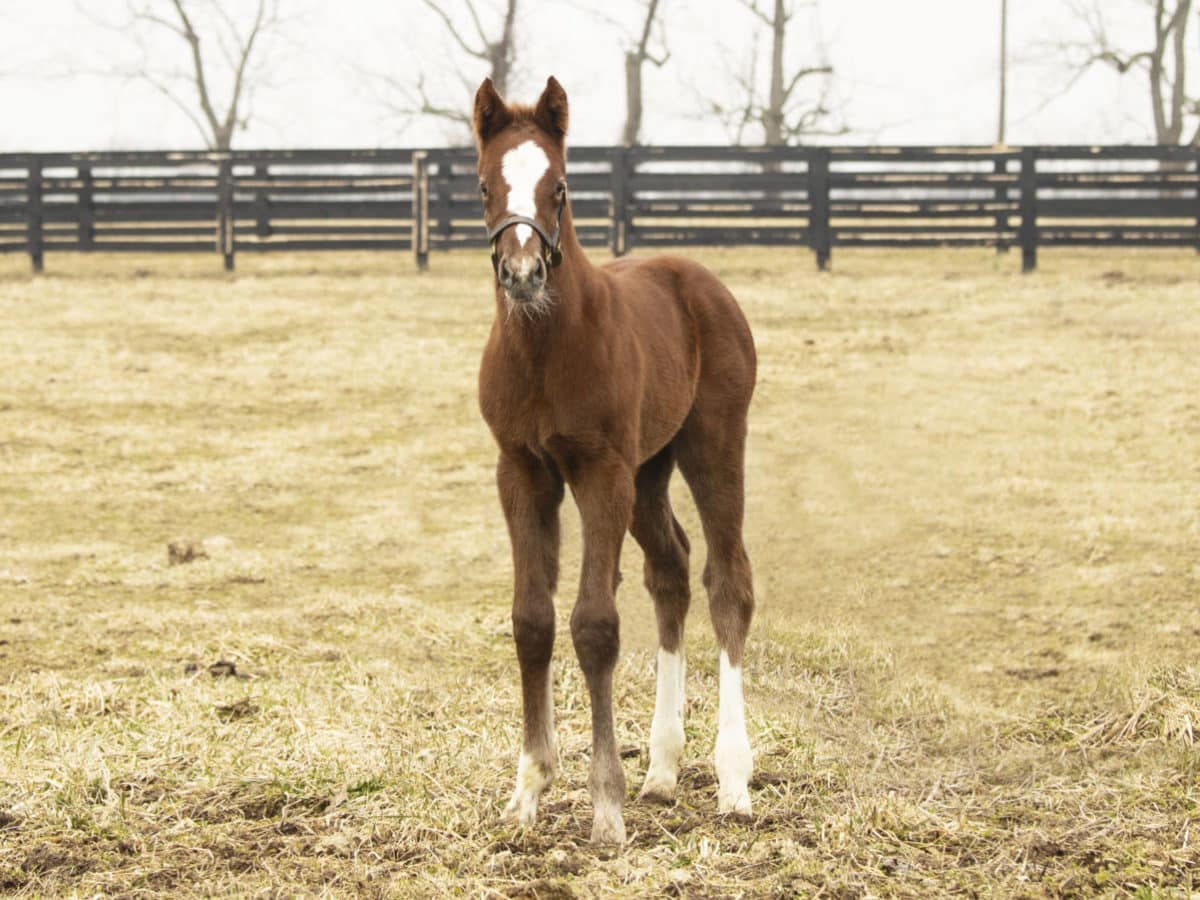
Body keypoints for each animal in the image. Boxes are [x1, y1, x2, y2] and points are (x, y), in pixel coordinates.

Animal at [472, 77, 753, 844]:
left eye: (561, 187)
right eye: (484, 187)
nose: (522, 274)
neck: (545, 348)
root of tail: (698, 279)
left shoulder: (600, 472)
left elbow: (594, 624)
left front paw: (605, 805)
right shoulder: (521, 471)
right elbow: (532, 620)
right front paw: (528, 791)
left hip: (712, 447)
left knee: (728, 584)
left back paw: (734, 780)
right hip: (648, 471)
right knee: (671, 572)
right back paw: (662, 770)